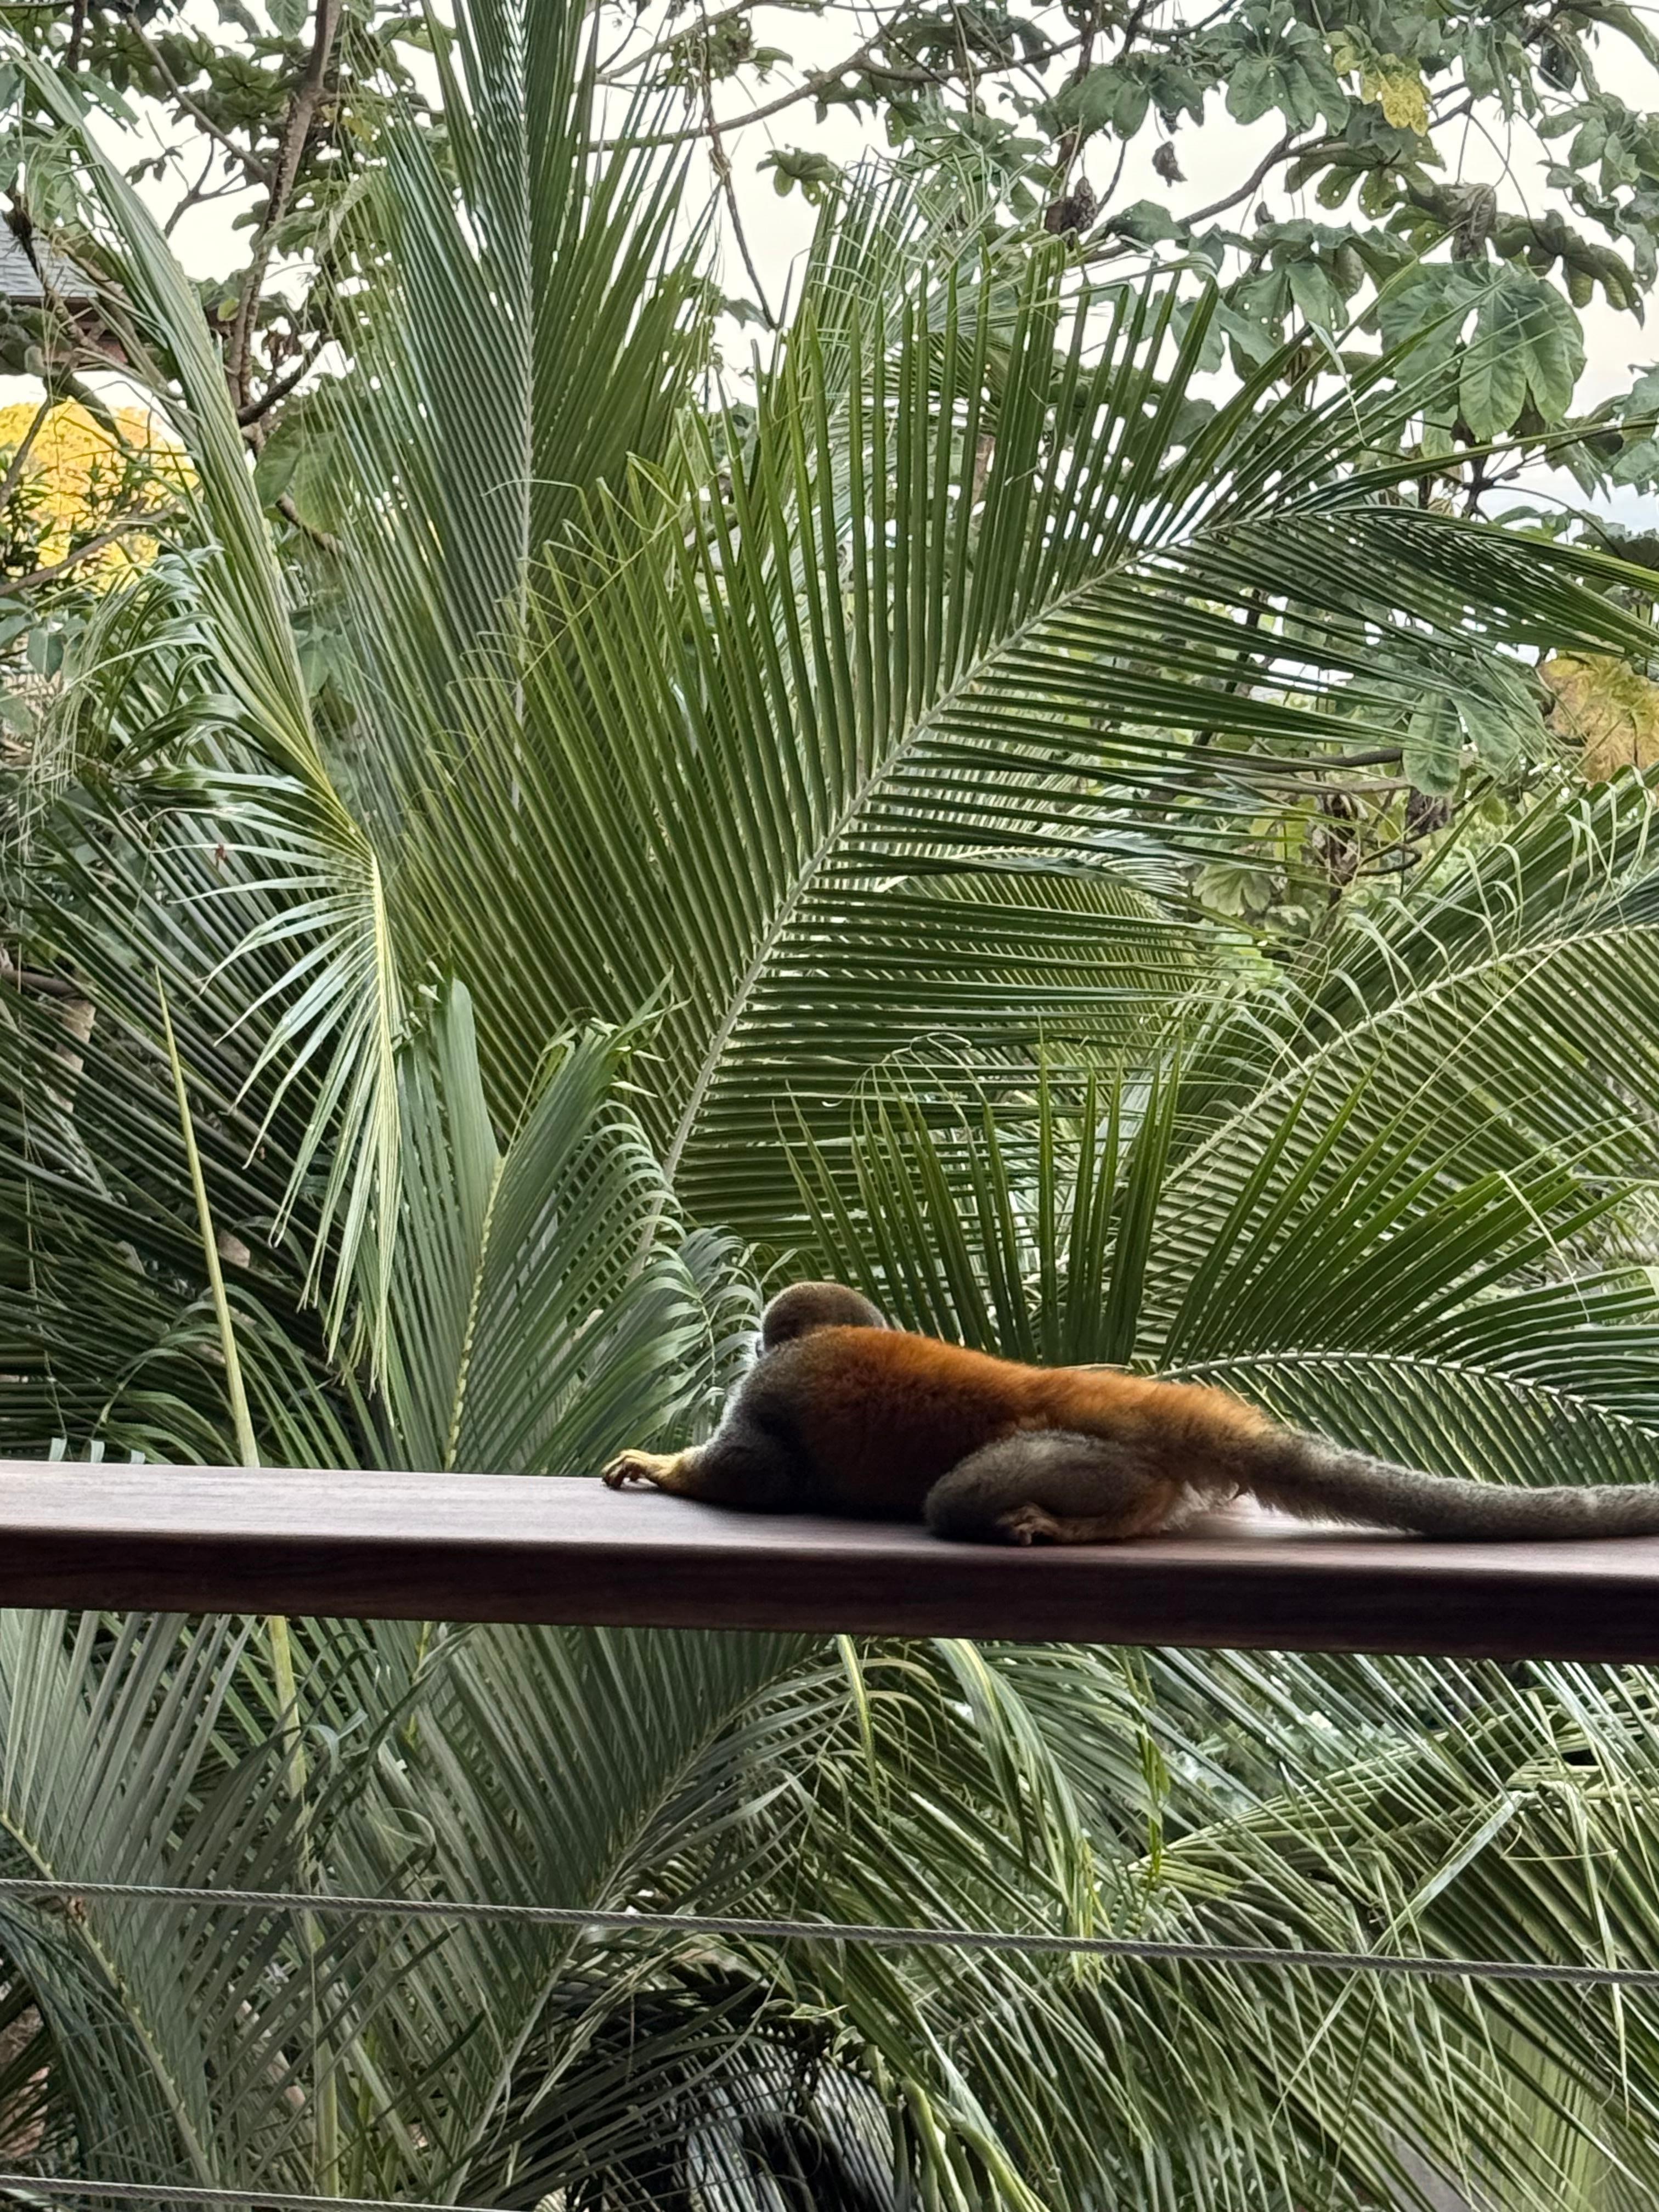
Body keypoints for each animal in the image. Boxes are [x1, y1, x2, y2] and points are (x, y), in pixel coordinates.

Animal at [601, 1280, 1659, 1545]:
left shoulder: (766, 1392)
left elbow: (759, 1473)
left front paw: (662, 1467)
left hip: (1062, 1452)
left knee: (955, 1499)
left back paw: (1106, 1518)